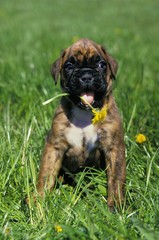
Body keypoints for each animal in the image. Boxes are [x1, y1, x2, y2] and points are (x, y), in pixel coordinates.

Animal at [36, 38, 126, 210]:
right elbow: (45, 174)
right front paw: (37, 201)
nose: (86, 75)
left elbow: (116, 179)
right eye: (69, 66)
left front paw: (116, 206)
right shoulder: (54, 147)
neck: (85, 112)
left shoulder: (114, 148)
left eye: (101, 64)